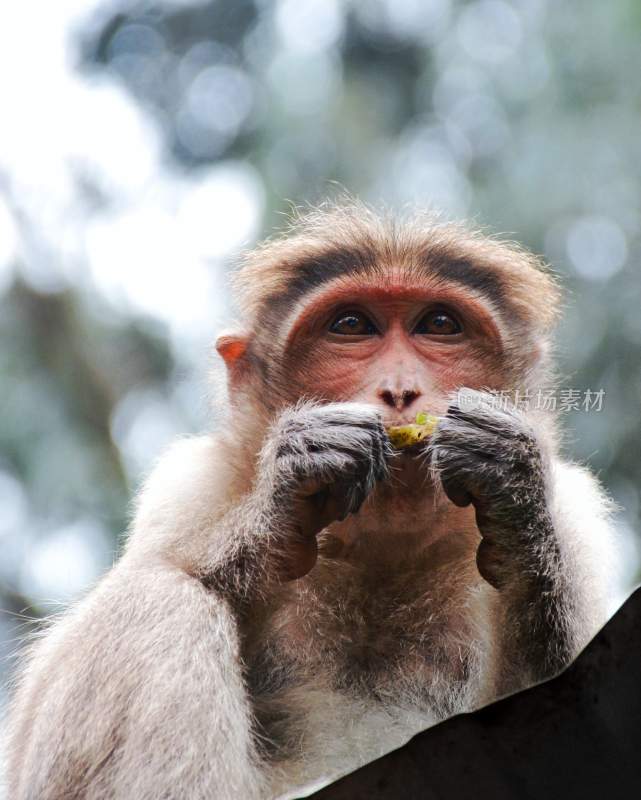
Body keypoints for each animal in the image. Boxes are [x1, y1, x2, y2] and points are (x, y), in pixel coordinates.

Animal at [3, 203, 616, 796]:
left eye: (440, 325)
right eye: (352, 325)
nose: (400, 391)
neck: (380, 557)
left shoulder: (575, 513)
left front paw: (509, 483)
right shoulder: (190, 485)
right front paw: (297, 484)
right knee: (160, 599)